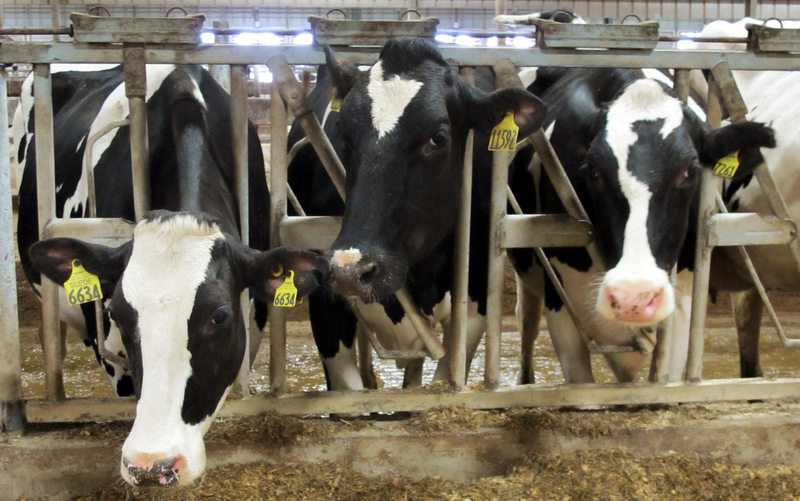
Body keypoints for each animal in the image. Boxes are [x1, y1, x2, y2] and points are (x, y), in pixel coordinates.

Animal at [510, 66, 780, 382]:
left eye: (690, 170)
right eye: (593, 170)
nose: (632, 296)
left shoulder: (680, 307)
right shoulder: (561, 304)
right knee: (526, 319)